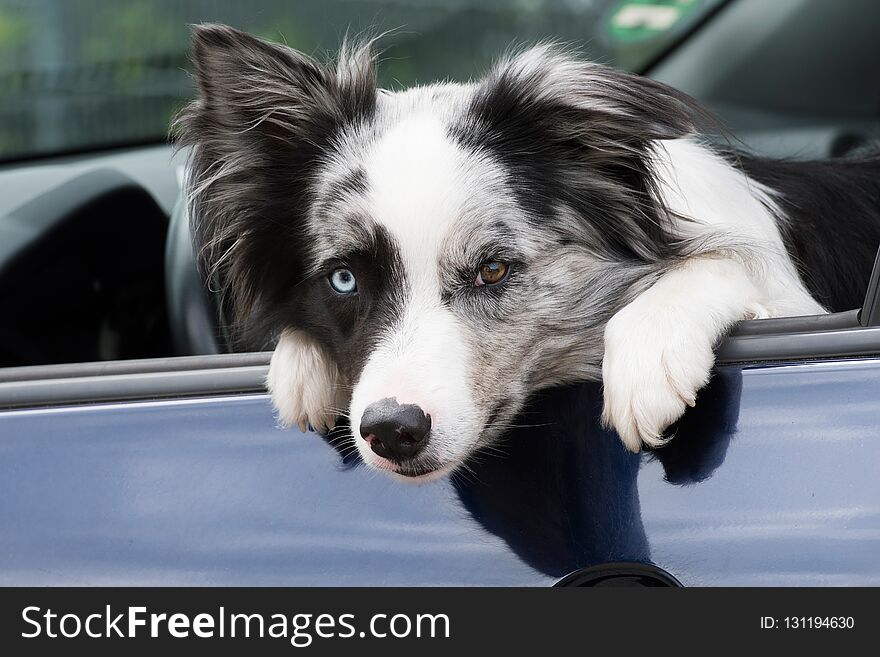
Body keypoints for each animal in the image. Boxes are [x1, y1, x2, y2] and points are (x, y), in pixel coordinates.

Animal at [179, 25, 880, 480]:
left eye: (493, 269)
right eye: (344, 278)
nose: (392, 430)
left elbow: (724, 266)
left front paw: (649, 352)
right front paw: (299, 364)